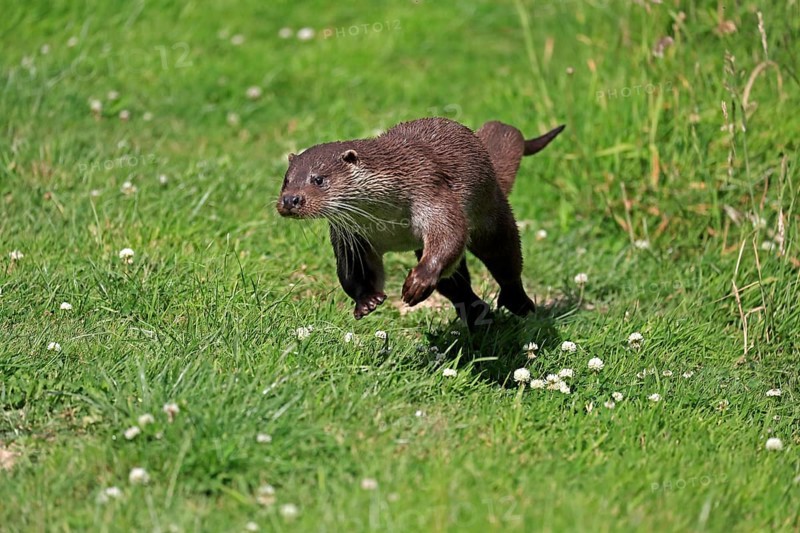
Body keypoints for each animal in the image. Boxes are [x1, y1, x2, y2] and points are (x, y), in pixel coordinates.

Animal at [277, 117, 564, 328]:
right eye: (286, 180)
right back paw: (478, 315)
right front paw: (367, 301)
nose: (290, 200)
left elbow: (449, 236)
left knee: (506, 262)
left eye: (318, 179)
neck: (386, 222)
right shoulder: (351, 237)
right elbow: (352, 272)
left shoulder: (430, 192)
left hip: (493, 218)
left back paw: (518, 303)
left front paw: (418, 282)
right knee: (455, 284)